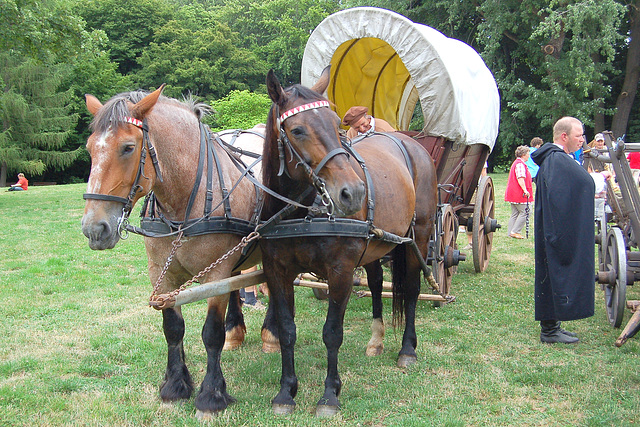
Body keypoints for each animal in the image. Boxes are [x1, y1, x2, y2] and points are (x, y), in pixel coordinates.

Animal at [80, 88, 264, 422]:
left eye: (128, 148)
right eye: (90, 149)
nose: (94, 228)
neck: (188, 195)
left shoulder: (215, 274)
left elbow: (211, 333)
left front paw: (211, 395)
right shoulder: (160, 274)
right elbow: (173, 328)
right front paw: (175, 385)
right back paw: (236, 331)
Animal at [260, 68, 440, 416]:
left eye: (335, 124)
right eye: (297, 130)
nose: (353, 192)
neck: (303, 211)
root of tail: (408, 141)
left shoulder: (340, 271)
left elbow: (332, 333)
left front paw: (330, 395)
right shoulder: (277, 271)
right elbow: (287, 330)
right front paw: (286, 392)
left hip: (419, 239)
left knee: (411, 290)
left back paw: (407, 350)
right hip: (375, 246)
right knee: (376, 284)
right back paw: (376, 340)